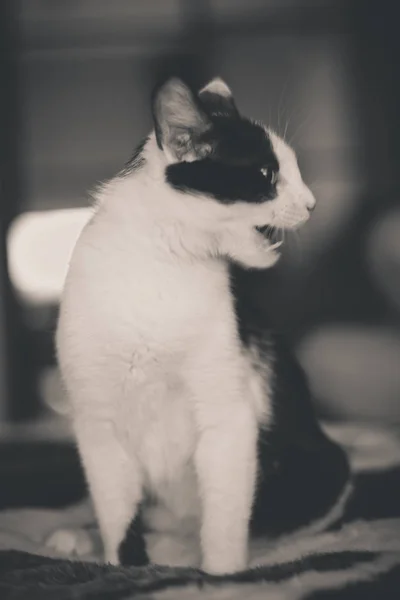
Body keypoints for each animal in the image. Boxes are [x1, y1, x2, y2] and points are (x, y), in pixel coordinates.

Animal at [49, 77, 350, 576]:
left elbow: (224, 519)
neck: (163, 265)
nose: (312, 203)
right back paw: (81, 535)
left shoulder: (227, 417)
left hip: (324, 471)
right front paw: (123, 565)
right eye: (267, 175)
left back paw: (178, 550)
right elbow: (117, 516)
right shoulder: (98, 425)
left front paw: (222, 576)